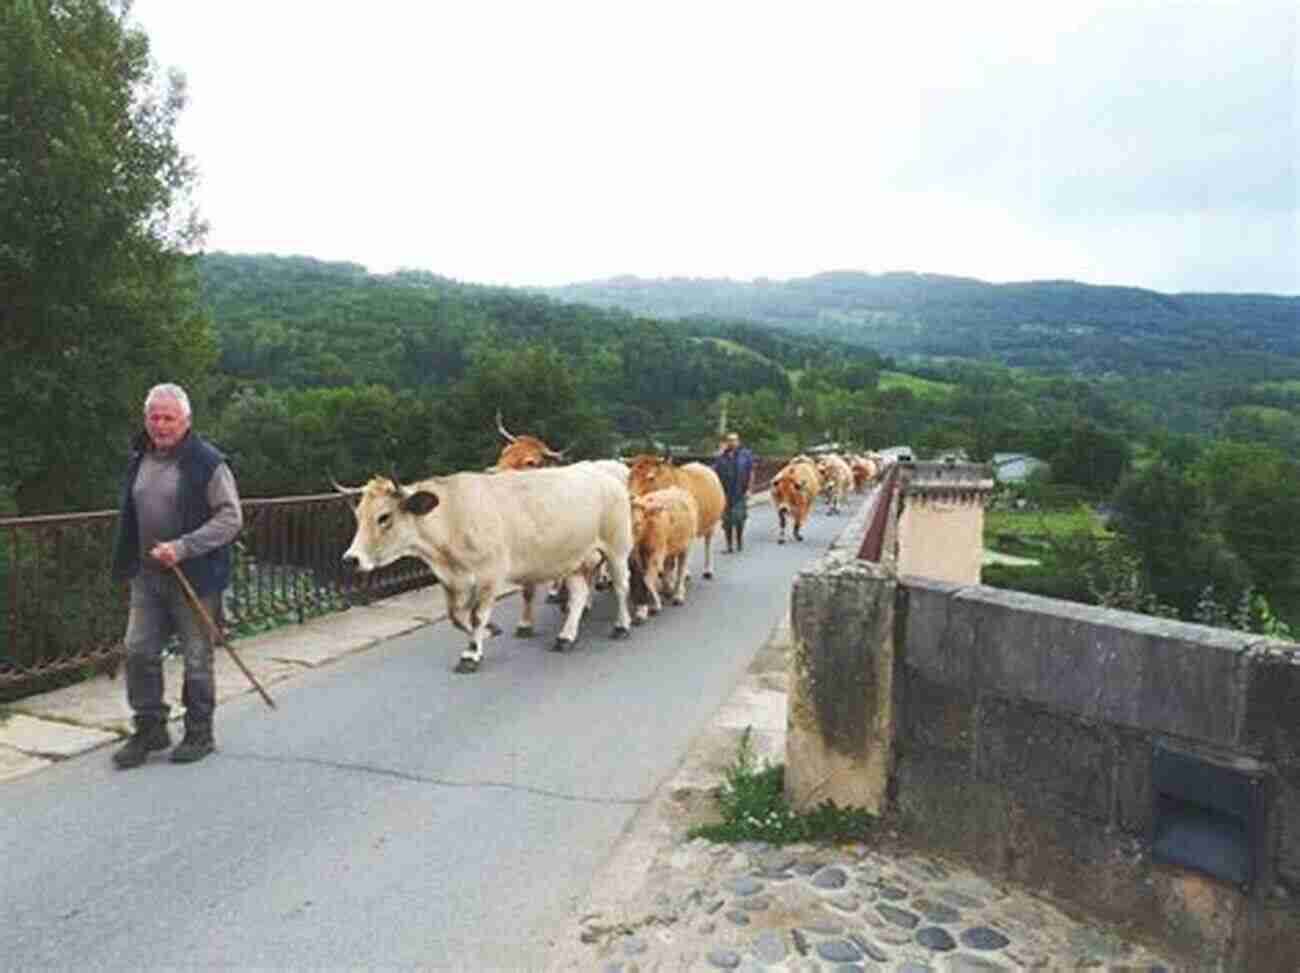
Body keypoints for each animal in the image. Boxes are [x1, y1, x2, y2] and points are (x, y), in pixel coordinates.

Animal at [335, 468, 634, 671]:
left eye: (384, 517)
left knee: (621, 587)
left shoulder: (490, 574)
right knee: (580, 595)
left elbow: (477, 615)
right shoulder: (451, 580)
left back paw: (622, 626)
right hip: (572, 557)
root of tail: (604, 472)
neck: (451, 519)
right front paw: (490, 632)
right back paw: (566, 637)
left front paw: (471, 654)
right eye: (358, 516)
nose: (351, 559)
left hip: (616, 548)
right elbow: (456, 617)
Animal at [629, 486, 702, 624]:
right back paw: (668, 589)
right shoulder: (638, 556)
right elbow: (643, 579)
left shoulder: (657, 553)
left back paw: (678, 595)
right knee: (669, 565)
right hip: (670, 548)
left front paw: (654, 605)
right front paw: (642, 609)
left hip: (686, 545)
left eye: (637, 523)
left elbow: (648, 579)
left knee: (681, 569)